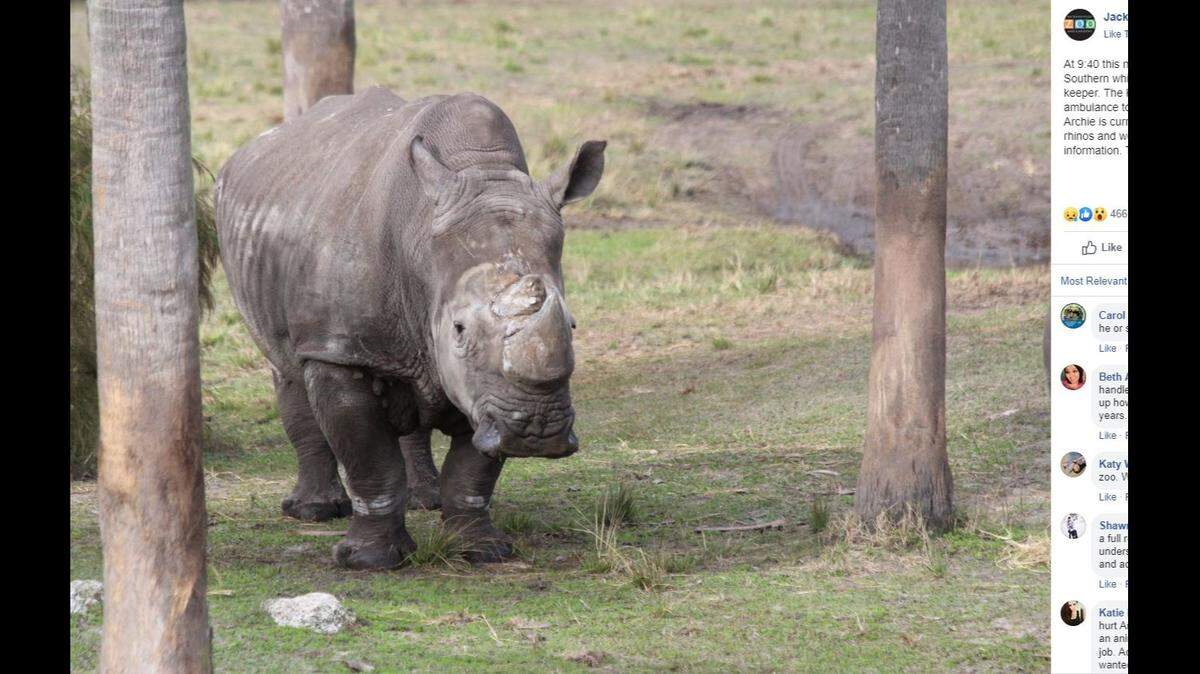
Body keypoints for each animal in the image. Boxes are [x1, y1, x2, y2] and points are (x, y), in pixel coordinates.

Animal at [215, 86, 605, 569]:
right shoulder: (338, 348)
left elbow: (474, 469)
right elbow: (368, 457)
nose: (536, 431)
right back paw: (313, 512)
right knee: (286, 369)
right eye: (459, 330)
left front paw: (480, 551)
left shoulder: (485, 391)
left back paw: (426, 500)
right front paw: (370, 561)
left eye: (572, 324)